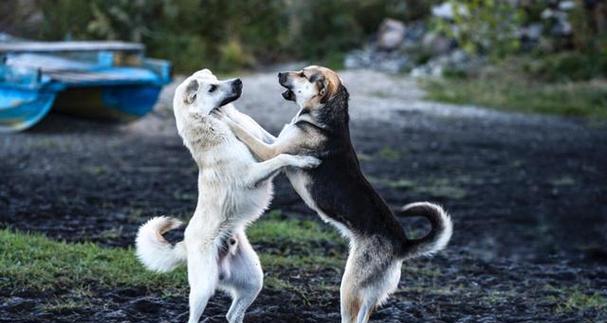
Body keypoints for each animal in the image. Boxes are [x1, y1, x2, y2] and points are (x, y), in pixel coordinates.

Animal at [135, 69, 320, 323]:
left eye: (216, 80)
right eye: (212, 88)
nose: (239, 81)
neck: (214, 123)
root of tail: (185, 243)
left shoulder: (269, 144)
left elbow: (281, 149)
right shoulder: (253, 173)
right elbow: (283, 157)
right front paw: (306, 160)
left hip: (253, 280)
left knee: (233, 314)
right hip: (203, 289)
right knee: (196, 316)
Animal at [218, 66, 452, 323]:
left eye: (303, 74)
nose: (279, 73)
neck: (325, 119)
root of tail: (402, 244)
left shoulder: (272, 151)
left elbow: (245, 133)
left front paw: (222, 116)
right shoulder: (276, 143)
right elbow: (260, 130)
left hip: (348, 287)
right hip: (370, 296)